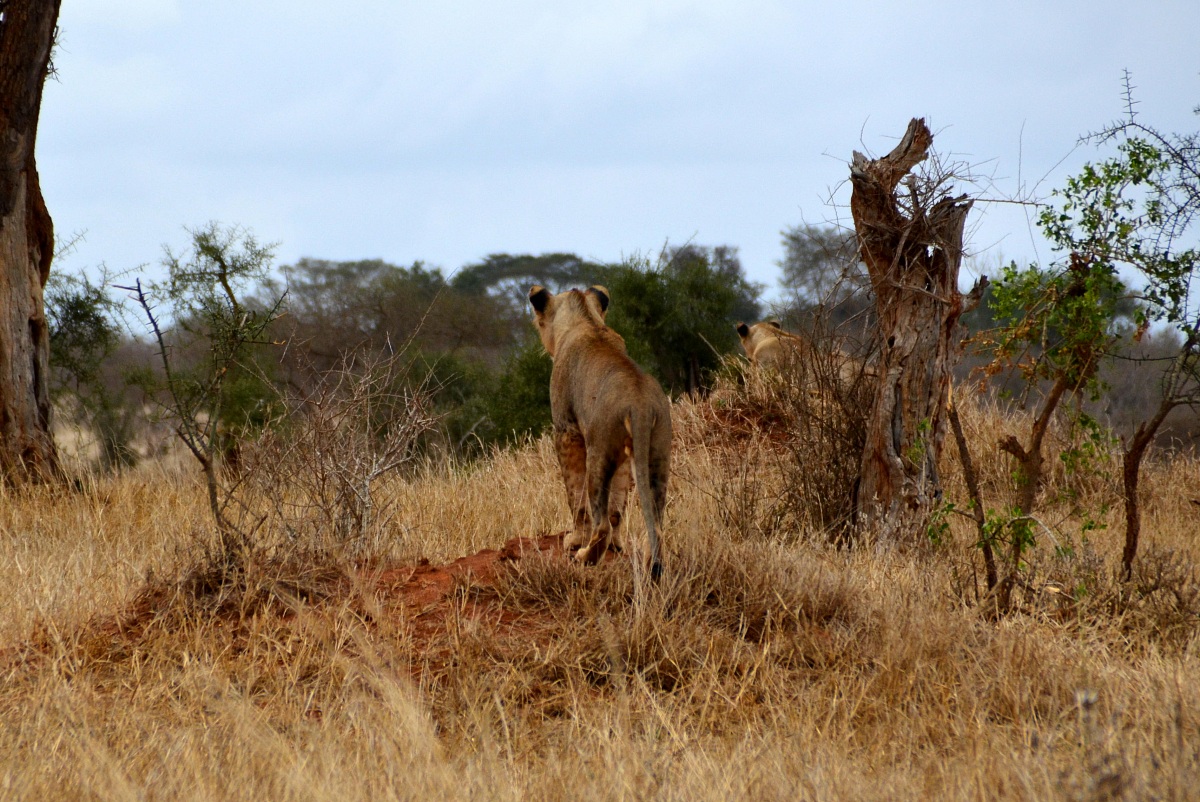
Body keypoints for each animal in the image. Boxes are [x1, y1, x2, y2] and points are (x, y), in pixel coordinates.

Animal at [529, 284, 671, 580]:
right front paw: (616, 547)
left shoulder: (567, 431)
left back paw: (584, 556)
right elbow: (617, 505)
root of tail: (640, 403)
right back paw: (650, 566)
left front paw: (574, 540)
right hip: (657, 454)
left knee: (601, 520)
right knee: (655, 524)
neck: (586, 320)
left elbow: (576, 495)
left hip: (599, 451)